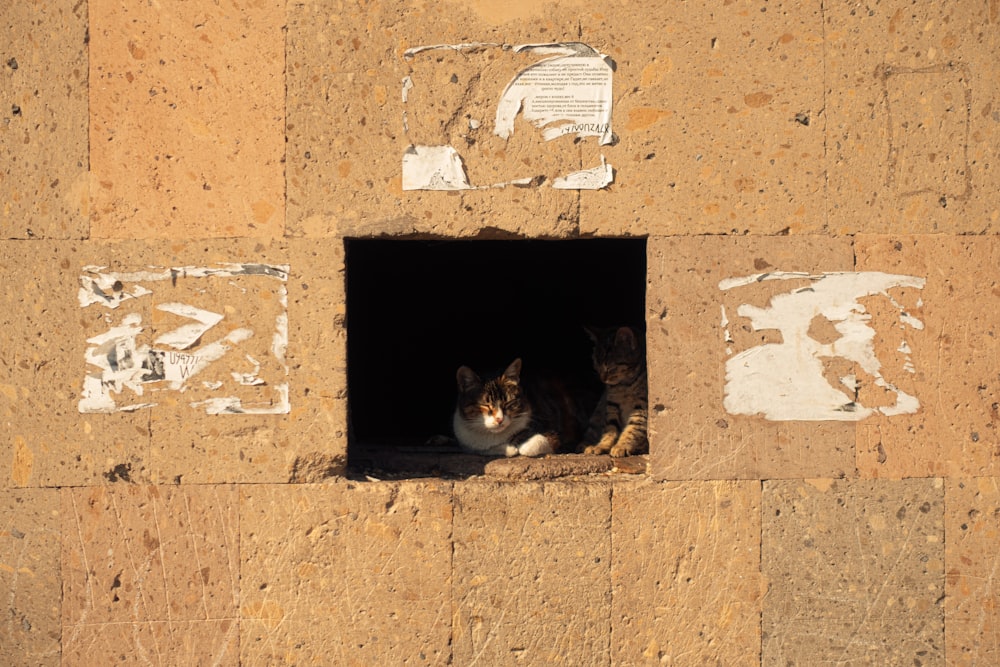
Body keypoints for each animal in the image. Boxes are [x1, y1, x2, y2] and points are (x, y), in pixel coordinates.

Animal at [452, 360, 584, 460]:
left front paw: (521, 445)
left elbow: (539, 442)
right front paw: (509, 448)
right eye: (485, 405)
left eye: (508, 402)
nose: (499, 419)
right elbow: (482, 449)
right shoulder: (468, 444)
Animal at [584, 328, 652, 460]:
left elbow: (633, 428)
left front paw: (622, 446)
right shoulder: (612, 405)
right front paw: (602, 445)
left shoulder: (641, 406)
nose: (602, 379)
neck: (624, 385)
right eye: (596, 366)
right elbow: (610, 428)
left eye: (611, 369)